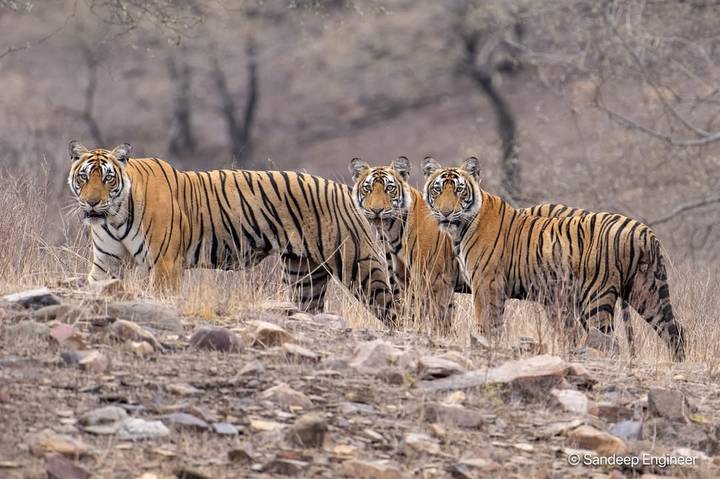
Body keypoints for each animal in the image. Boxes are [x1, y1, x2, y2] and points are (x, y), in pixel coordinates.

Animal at [67, 141, 397, 327]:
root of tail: (347, 188)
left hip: (358, 264)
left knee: (392, 305)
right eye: (84, 177)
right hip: (303, 275)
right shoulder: (107, 263)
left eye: (107, 179)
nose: (91, 202)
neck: (114, 216)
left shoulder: (165, 263)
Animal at [349, 156, 468, 333]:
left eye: (389, 188)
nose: (377, 210)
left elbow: (438, 316)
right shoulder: (404, 278)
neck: (392, 231)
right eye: (367, 189)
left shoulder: (436, 279)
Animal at [422, 156, 685, 361]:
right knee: (675, 331)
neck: (460, 229)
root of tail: (644, 231)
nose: (446, 212)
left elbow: (486, 322)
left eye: (459, 189)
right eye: (437, 189)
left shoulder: (486, 283)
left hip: (597, 296)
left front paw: (484, 344)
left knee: (608, 339)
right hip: (647, 291)